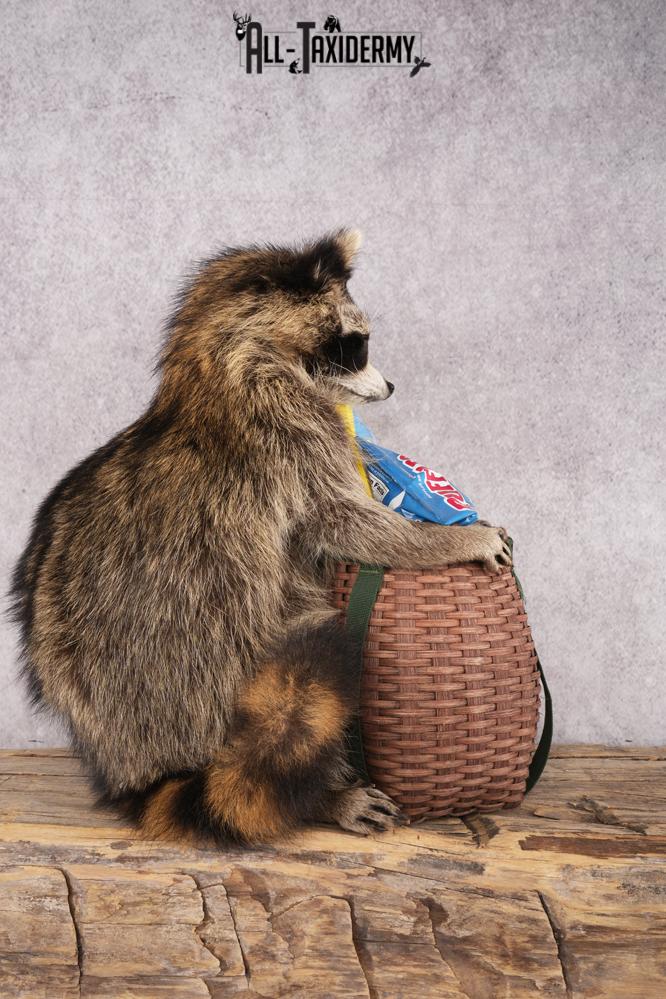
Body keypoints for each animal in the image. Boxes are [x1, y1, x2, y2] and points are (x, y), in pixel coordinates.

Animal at [10, 229, 512, 844]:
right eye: (358, 345)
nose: (392, 386)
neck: (220, 359)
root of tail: (140, 758)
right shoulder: (285, 434)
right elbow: (343, 520)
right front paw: (441, 540)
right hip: (209, 645)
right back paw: (327, 794)